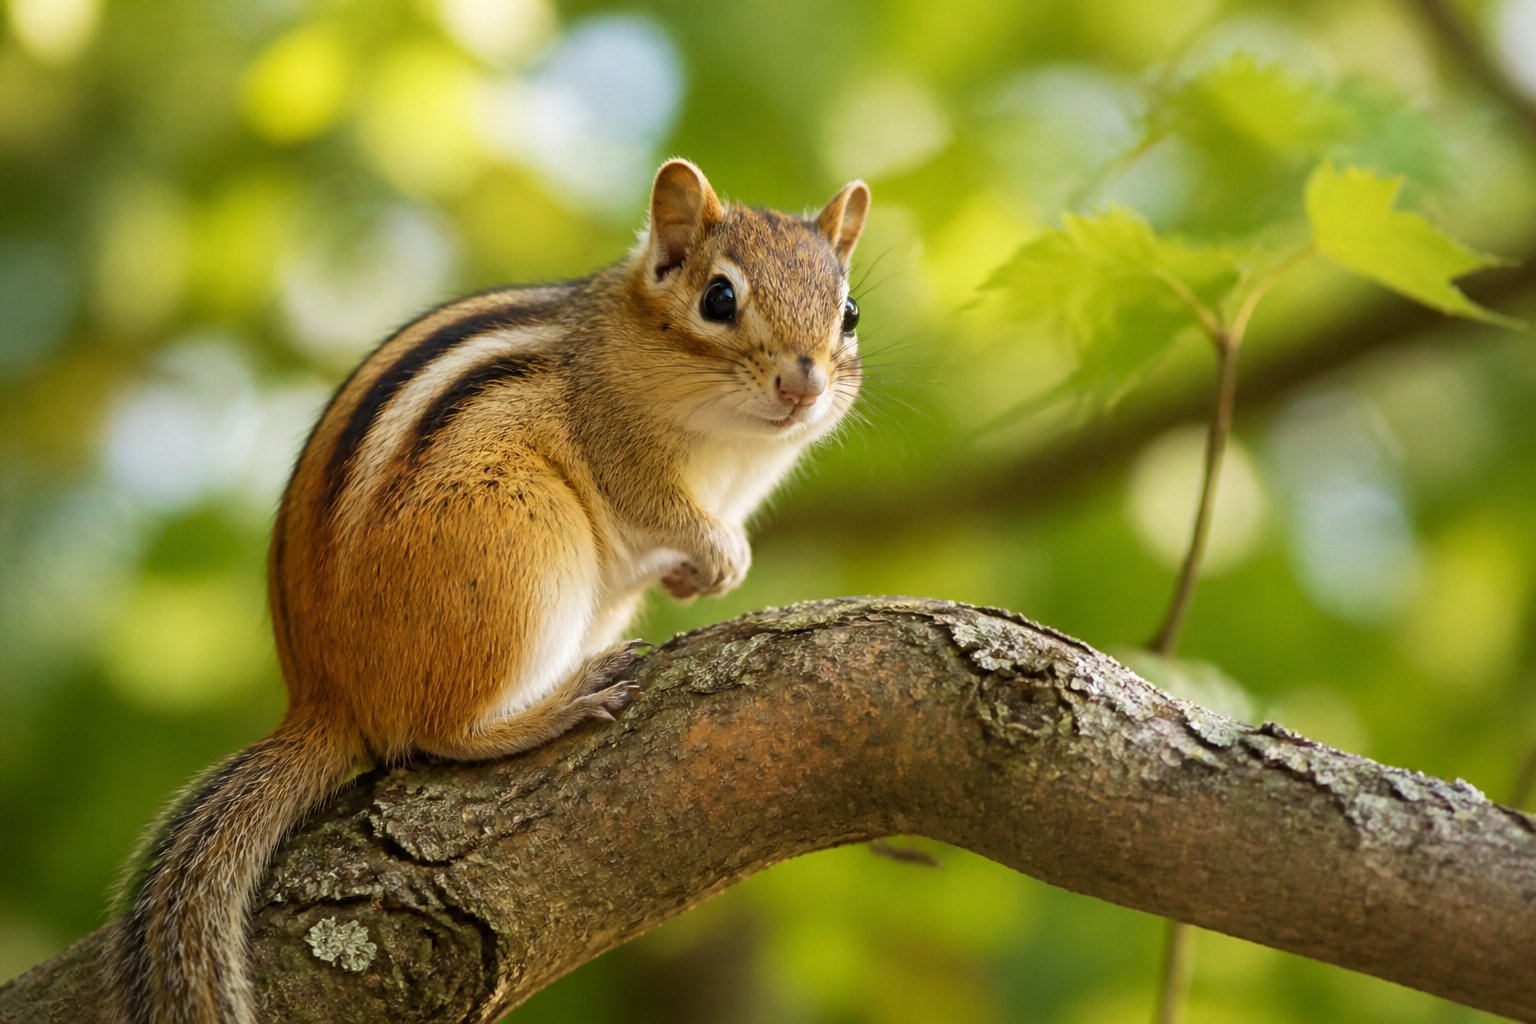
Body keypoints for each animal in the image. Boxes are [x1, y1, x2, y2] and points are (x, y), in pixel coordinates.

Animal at [106, 159, 870, 1024]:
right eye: (718, 299)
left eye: (848, 312)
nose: (803, 384)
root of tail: (328, 696)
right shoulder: (618, 443)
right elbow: (660, 507)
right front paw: (715, 553)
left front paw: (703, 570)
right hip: (524, 540)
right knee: (439, 731)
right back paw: (561, 703)